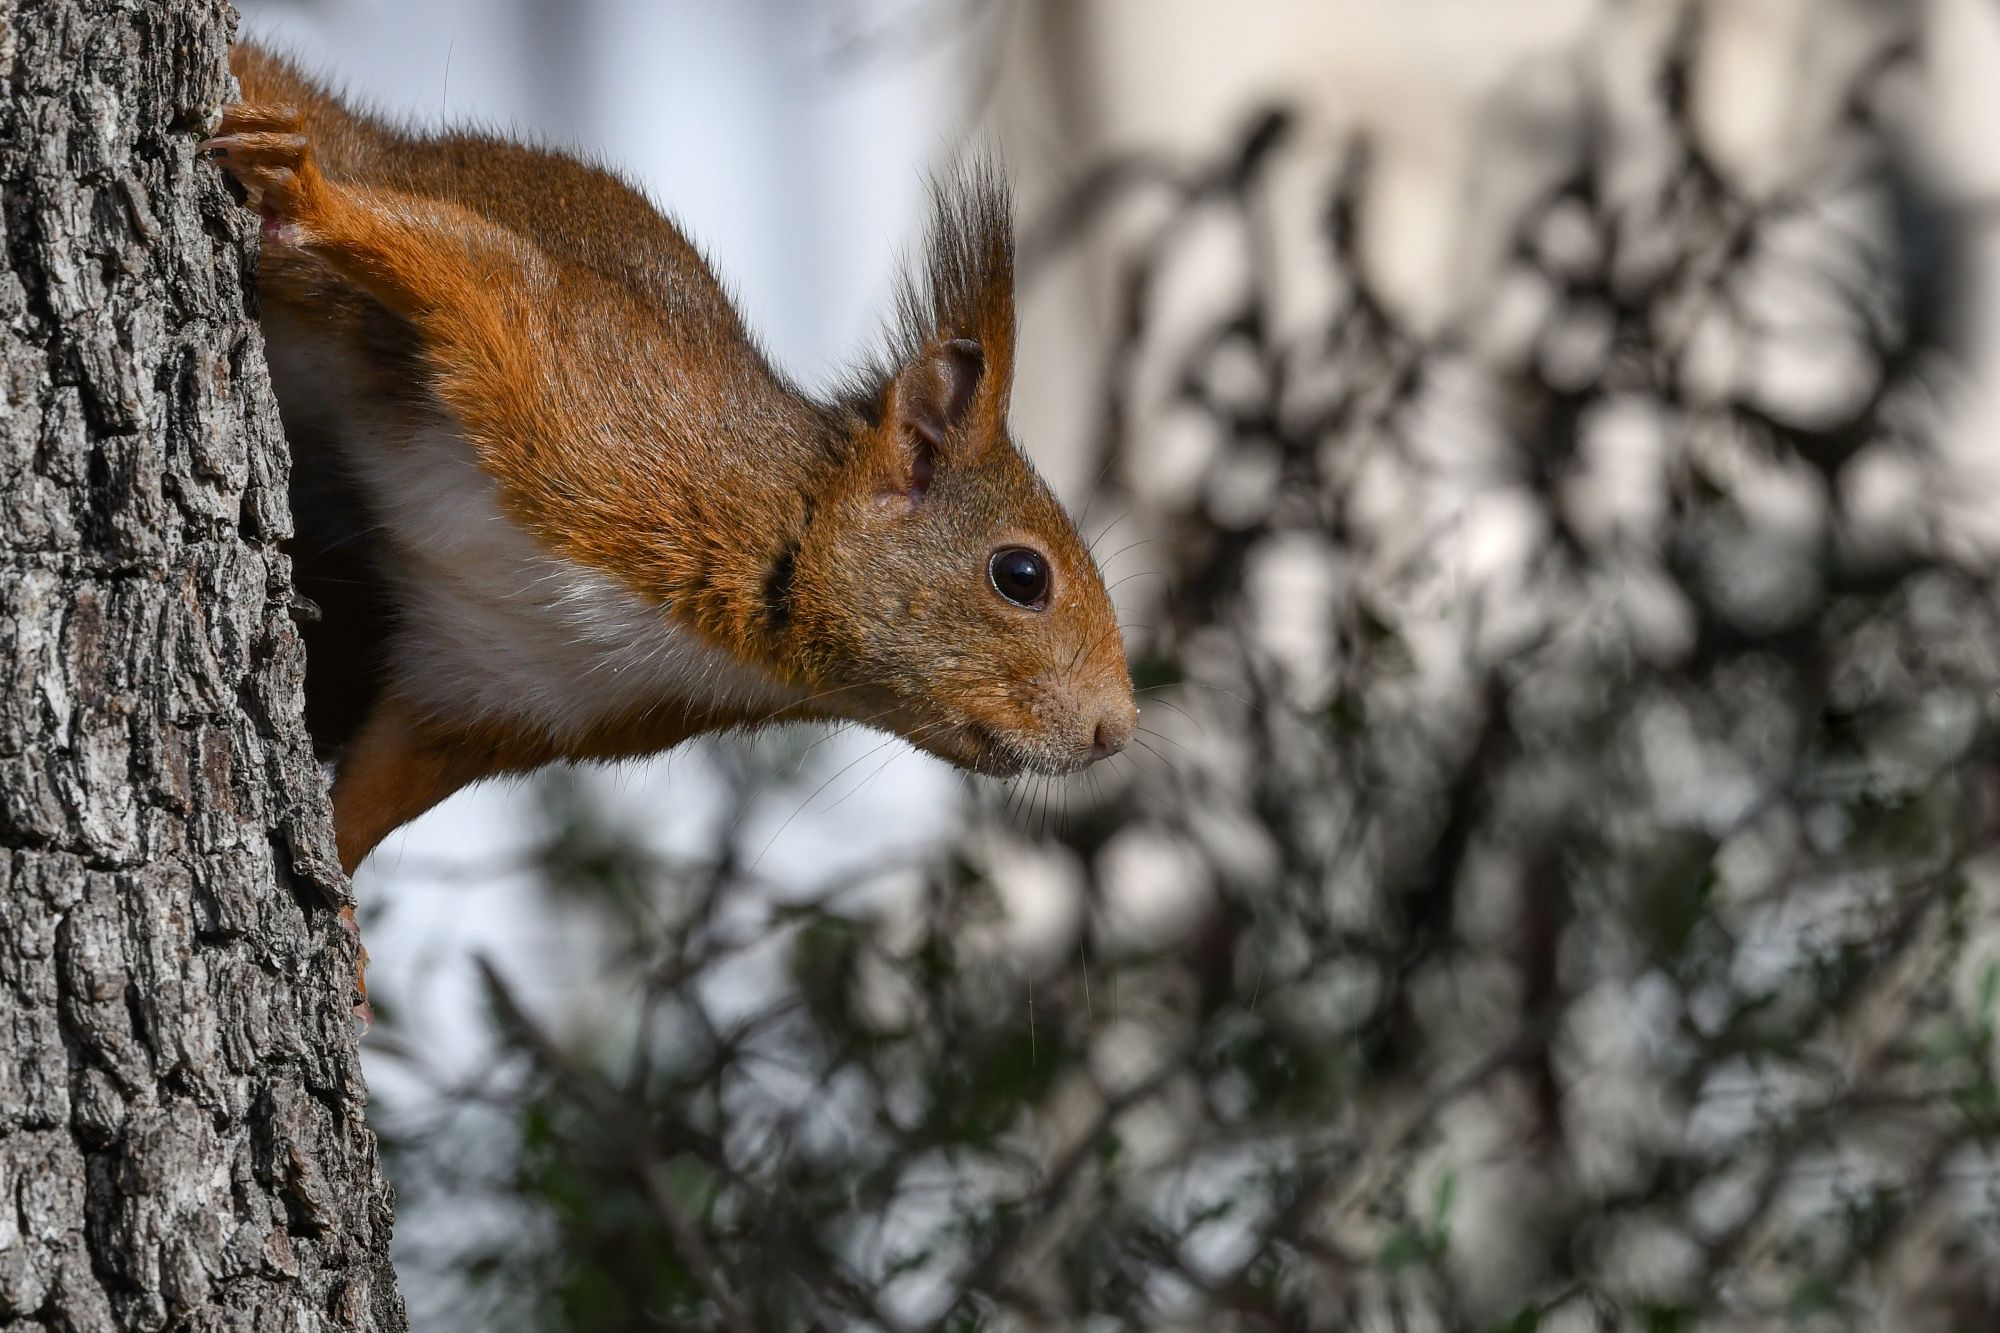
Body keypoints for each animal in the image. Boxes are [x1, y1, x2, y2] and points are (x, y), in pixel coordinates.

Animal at [205, 45, 1138, 879]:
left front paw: (341, 923)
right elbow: (473, 269)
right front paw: (311, 196)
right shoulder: (591, 392)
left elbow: (377, 791)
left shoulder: (486, 684)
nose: (1116, 733)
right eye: (1021, 575)